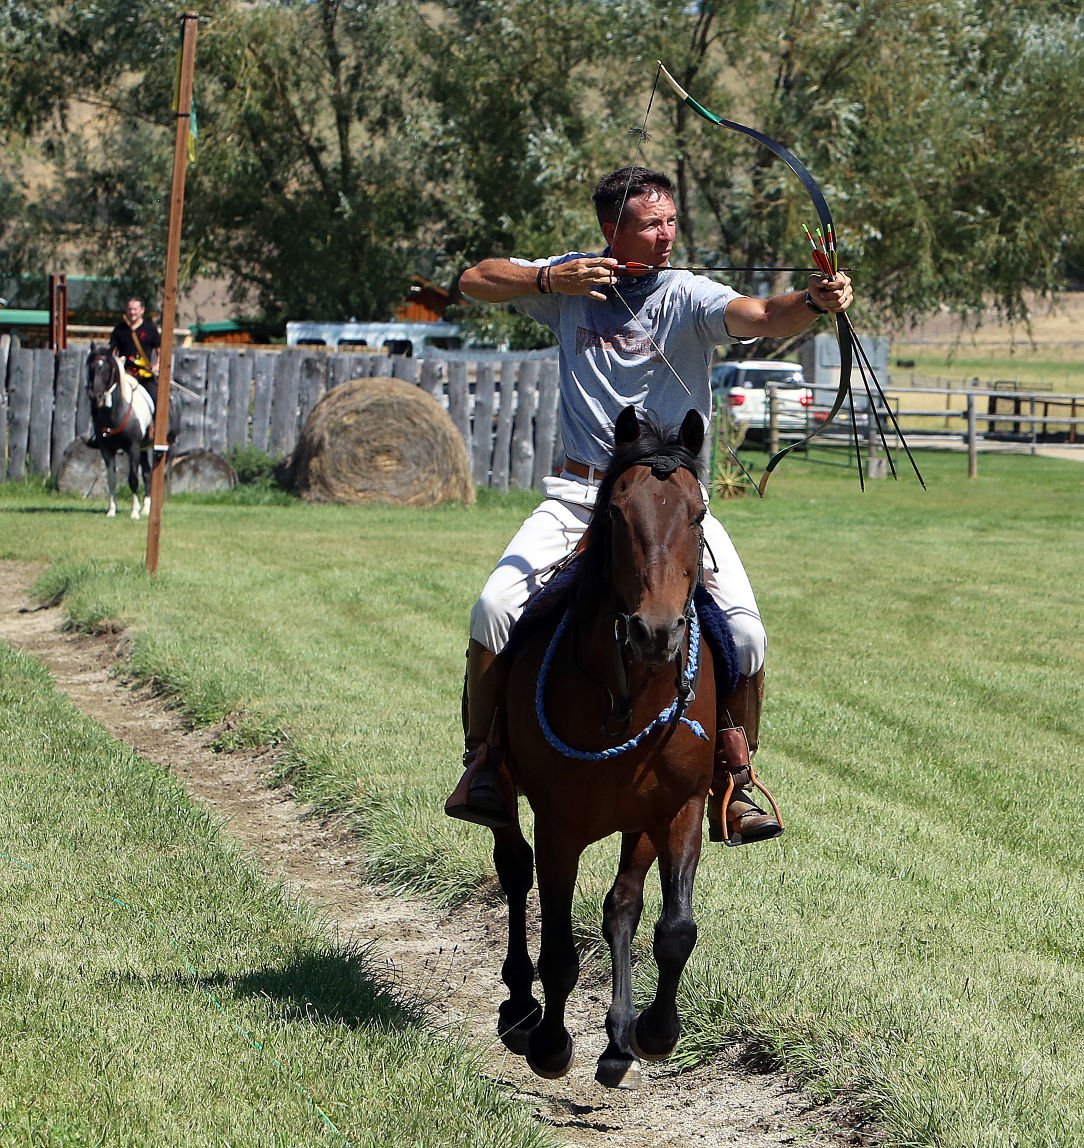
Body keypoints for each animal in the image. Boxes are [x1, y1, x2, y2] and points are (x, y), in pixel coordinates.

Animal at [85, 342, 177, 518]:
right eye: (90, 367)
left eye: (107, 368)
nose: (95, 397)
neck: (116, 412)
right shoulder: (107, 450)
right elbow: (111, 479)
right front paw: (112, 510)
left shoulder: (133, 448)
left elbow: (133, 479)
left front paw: (134, 512)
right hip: (143, 449)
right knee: (147, 473)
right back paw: (147, 509)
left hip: (164, 449)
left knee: (160, 475)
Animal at [493, 408, 734, 1088]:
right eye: (620, 515)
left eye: (698, 514)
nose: (656, 632)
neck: (629, 694)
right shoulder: (559, 824)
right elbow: (557, 949)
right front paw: (551, 1045)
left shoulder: (677, 810)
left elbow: (673, 928)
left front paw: (654, 1032)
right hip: (507, 792)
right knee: (513, 870)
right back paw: (520, 1006)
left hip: (639, 821)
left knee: (622, 904)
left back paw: (619, 1041)